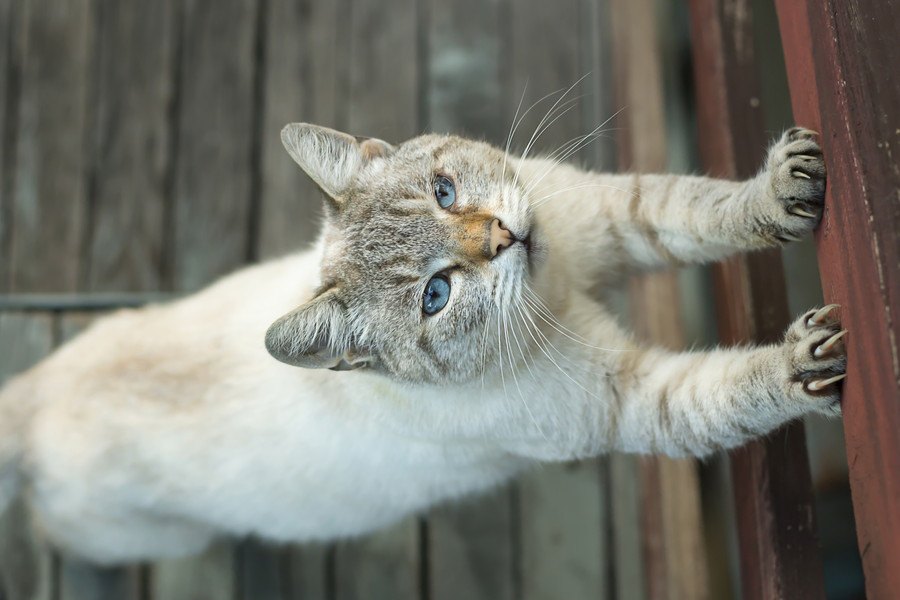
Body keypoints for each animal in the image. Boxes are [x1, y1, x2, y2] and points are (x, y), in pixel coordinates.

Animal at [0, 120, 844, 564]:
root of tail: (35, 392)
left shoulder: (614, 213)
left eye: (445, 191)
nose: (505, 237)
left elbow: (704, 209)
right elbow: (732, 394)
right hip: (132, 534)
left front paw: (784, 190)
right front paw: (807, 363)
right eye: (435, 296)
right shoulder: (635, 398)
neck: (554, 286)